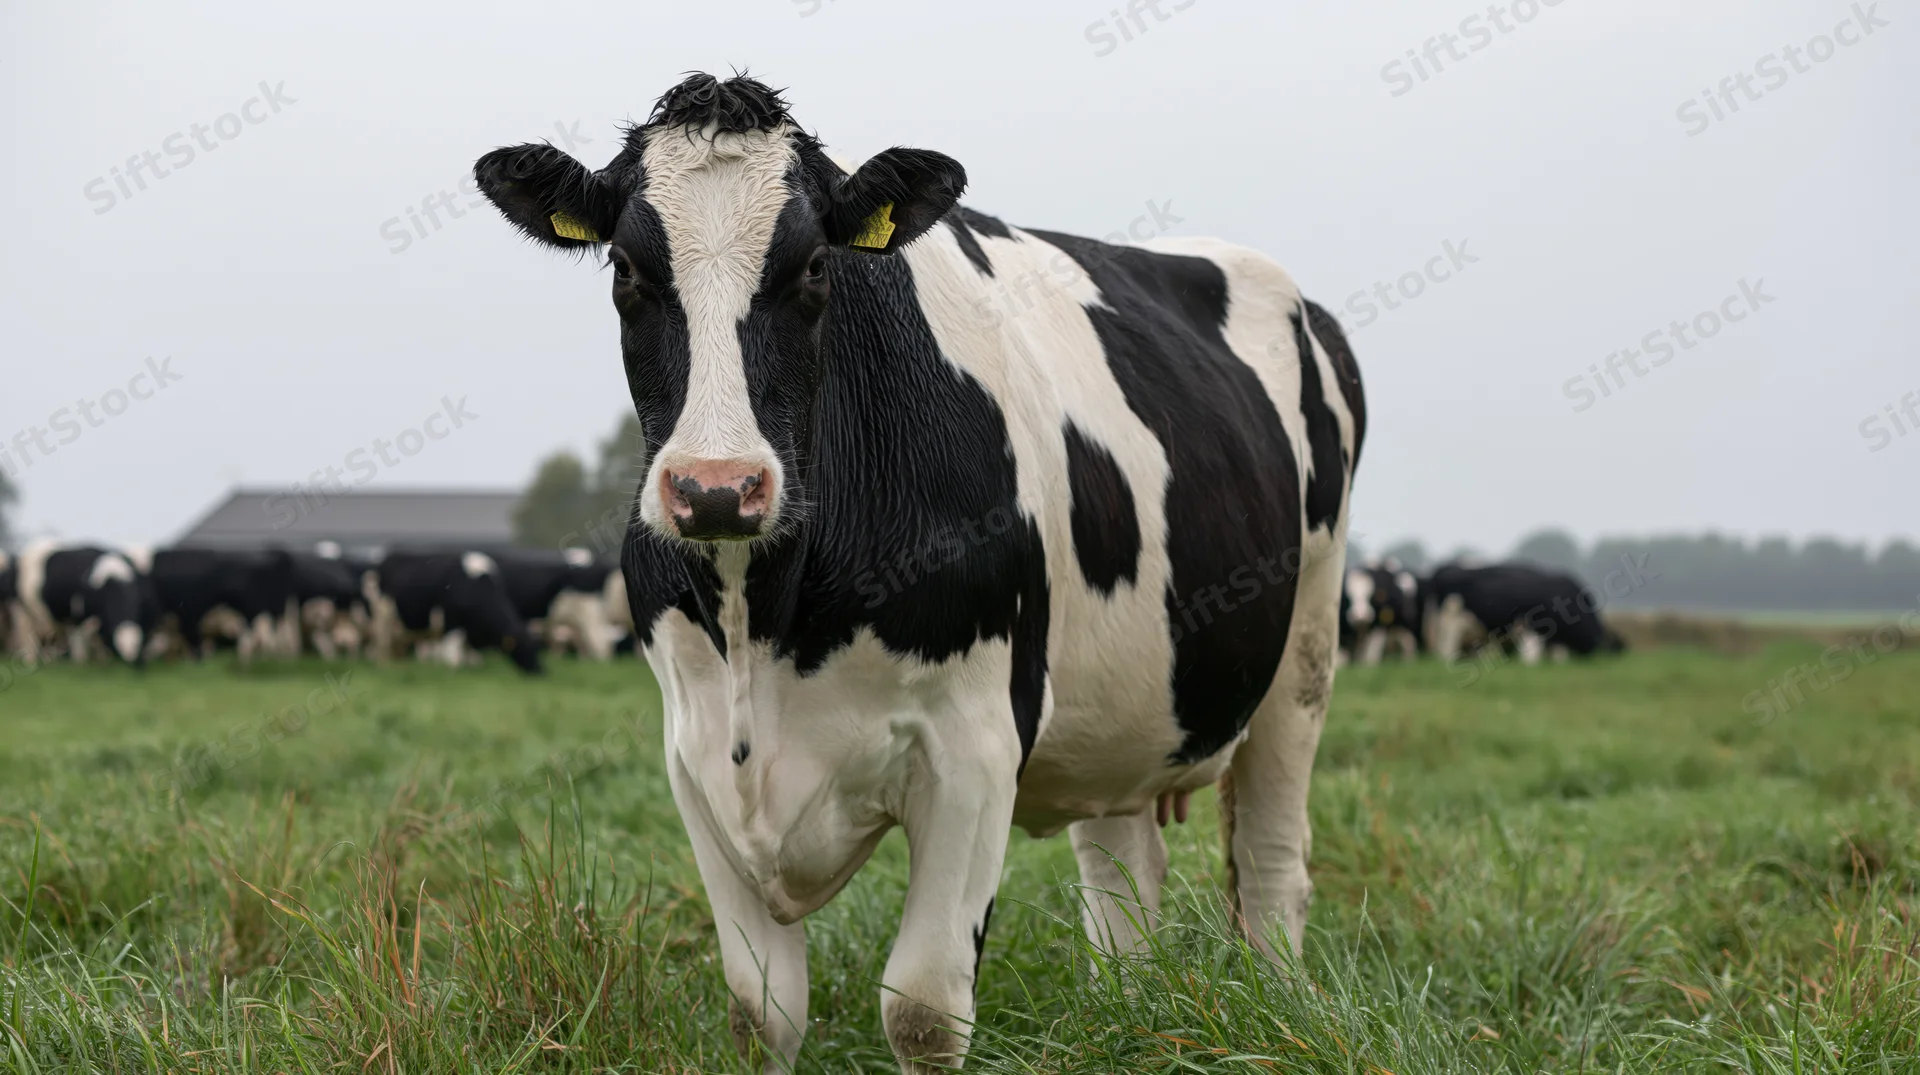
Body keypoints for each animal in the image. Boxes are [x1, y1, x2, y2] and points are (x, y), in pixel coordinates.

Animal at [6, 541, 147, 665]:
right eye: (113, 616)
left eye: (135, 610)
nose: (130, 649)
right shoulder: (77, 618)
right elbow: (79, 643)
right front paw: (80, 663)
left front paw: (102, 660)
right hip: (22, 611)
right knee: (27, 636)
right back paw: (30, 660)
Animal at [369, 550, 543, 673]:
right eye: (525, 648)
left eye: (537, 648)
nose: (540, 671)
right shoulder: (451, 623)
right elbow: (453, 655)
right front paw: (454, 673)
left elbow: (471, 656)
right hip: (382, 617)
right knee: (382, 644)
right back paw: (384, 665)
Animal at [491, 548, 620, 660]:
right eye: (600, 646)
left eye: (611, 647)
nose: (605, 660)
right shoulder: (554, 619)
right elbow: (556, 641)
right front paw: (555, 657)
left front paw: (582, 658)